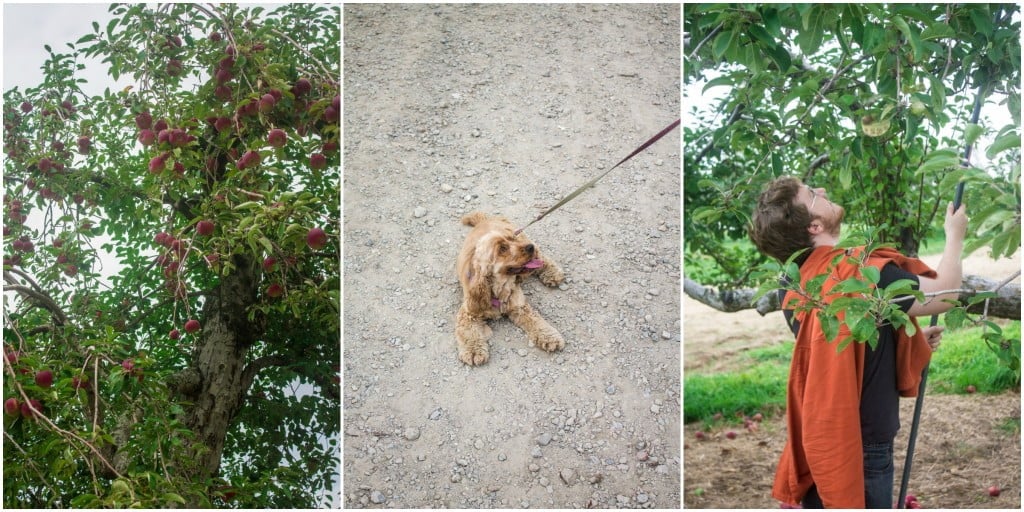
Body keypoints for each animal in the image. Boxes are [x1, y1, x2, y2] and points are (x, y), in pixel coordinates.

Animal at [456, 209, 569, 366]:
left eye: (512, 239)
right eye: (502, 248)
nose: (529, 247)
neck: (499, 288)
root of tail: (484, 220)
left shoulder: (520, 307)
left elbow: (537, 321)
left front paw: (550, 337)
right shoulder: (468, 312)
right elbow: (468, 332)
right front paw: (473, 350)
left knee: (541, 258)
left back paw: (552, 273)